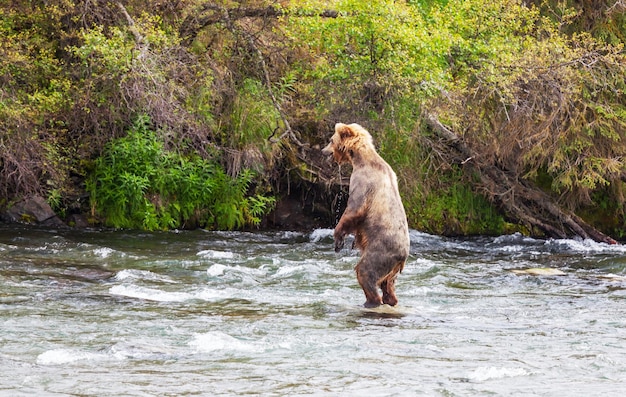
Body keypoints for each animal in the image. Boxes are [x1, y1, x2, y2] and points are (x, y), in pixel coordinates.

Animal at [322, 122, 410, 308]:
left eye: (331, 140)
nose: (323, 151)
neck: (360, 159)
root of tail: (402, 257)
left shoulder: (363, 182)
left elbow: (354, 209)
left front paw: (338, 239)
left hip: (380, 251)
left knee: (365, 271)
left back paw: (371, 301)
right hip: (391, 268)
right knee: (388, 283)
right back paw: (390, 300)